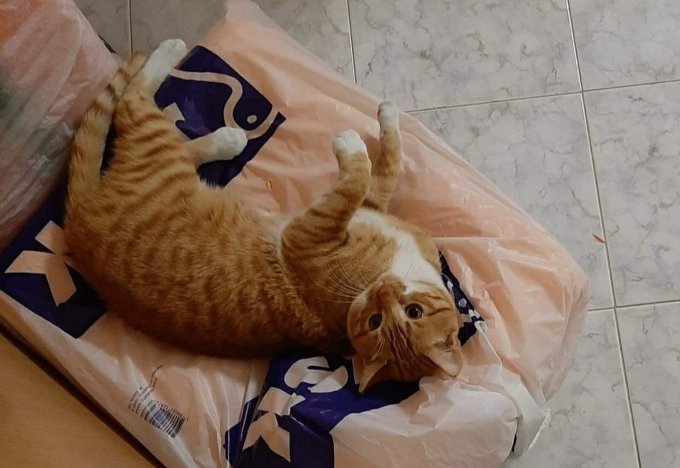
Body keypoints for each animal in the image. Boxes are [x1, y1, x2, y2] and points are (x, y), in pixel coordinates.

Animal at [64, 39, 463, 391]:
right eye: (382, 319)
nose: (383, 289)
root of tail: (77, 221)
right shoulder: (370, 206)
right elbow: (387, 160)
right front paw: (388, 116)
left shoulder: (310, 233)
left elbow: (357, 176)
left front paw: (351, 144)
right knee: (139, 109)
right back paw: (224, 135)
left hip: (161, 156)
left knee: (133, 103)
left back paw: (178, 63)